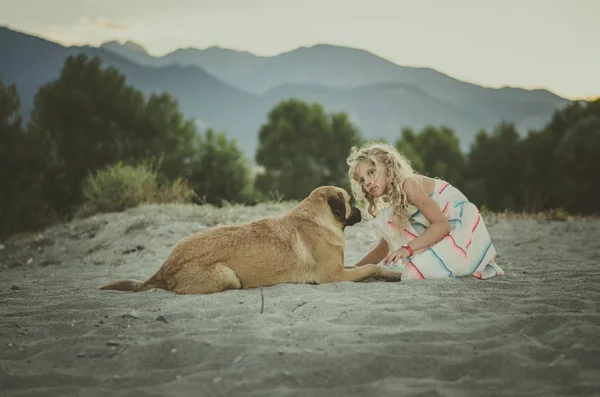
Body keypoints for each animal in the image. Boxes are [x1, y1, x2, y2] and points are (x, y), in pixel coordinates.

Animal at [101, 186, 404, 294]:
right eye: (350, 201)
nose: (362, 212)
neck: (317, 219)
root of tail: (164, 268)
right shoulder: (333, 275)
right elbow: (368, 267)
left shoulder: (341, 268)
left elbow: (364, 267)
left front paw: (389, 274)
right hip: (228, 276)